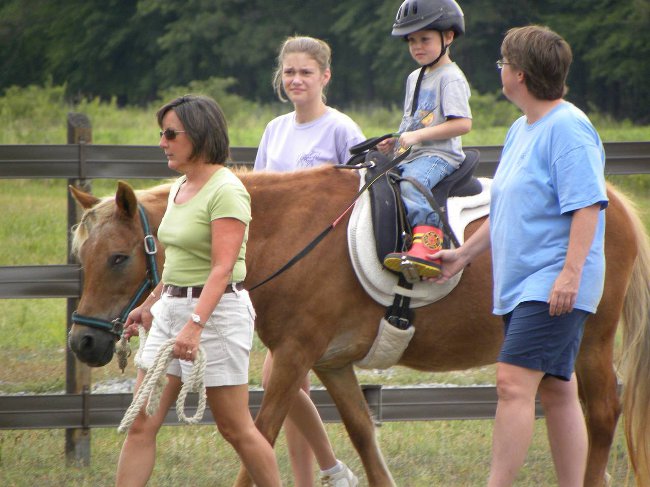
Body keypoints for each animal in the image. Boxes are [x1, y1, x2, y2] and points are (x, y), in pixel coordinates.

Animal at [69, 166, 648, 486]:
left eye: (119, 258)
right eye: (83, 256)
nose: (84, 341)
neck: (289, 235)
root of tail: (611, 201)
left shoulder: (294, 357)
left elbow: (262, 436)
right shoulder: (332, 364)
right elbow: (363, 435)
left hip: (591, 340)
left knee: (602, 414)